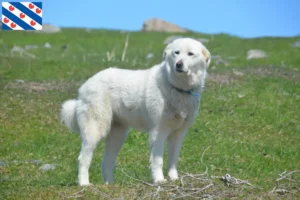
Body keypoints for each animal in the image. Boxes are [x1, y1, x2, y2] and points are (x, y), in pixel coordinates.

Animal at [61, 38, 211, 186]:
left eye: (190, 54)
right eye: (176, 53)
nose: (178, 64)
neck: (177, 87)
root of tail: (86, 84)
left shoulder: (179, 133)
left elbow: (173, 159)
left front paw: (174, 178)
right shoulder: (158, 131)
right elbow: (158, 160)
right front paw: (159, 180)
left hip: (118, 135)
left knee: (107, 161)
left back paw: (110, 184)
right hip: (95, 129)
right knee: (83, 158)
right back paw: (84, 184)